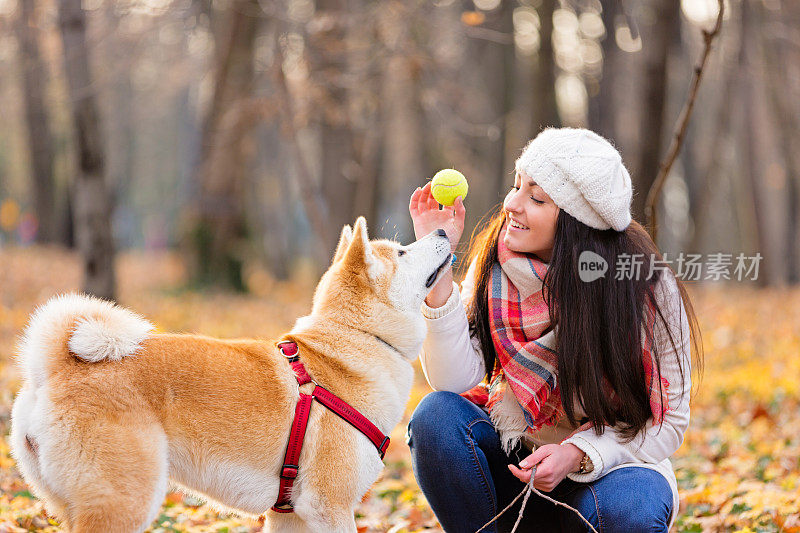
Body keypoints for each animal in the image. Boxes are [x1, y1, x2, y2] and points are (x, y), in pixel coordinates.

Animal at [9, 217, 454, 532]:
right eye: (402, 252)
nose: (442, 229)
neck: (355, 339)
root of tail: (53, 367)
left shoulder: (291, 515)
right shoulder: (328, 506)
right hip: (124, 502)